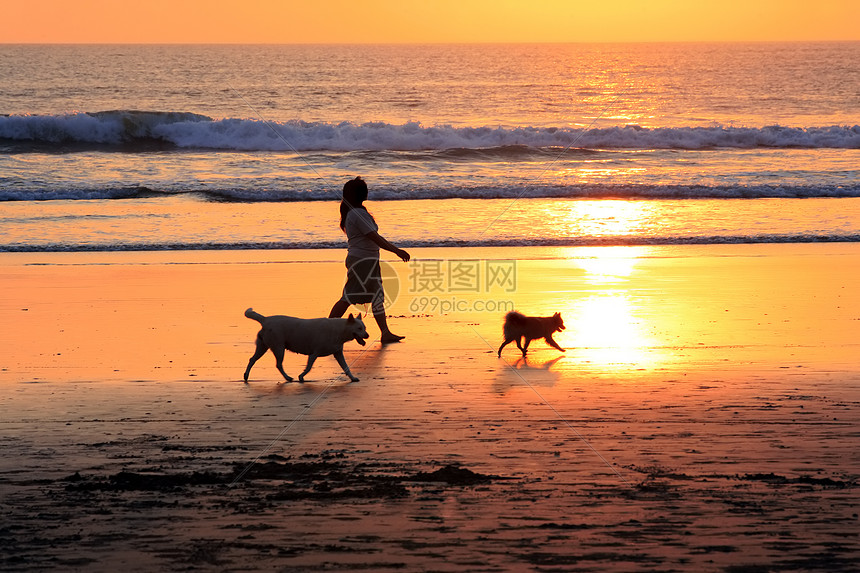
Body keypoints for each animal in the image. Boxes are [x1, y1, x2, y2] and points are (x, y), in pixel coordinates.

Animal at [242, 306, 370, 382]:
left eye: (365, 328)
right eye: (359, 328)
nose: (367, 335)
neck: (340, 330)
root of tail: (265, 319)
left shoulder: (338, 353)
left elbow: (346, 367)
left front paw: (353, 378)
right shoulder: (314, 353)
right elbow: (308, 367)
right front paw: (301, 376)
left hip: (263, 347)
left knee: (252, 359)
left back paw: (246, 376)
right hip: (279, 348)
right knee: (278, 364)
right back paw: (288, 377)